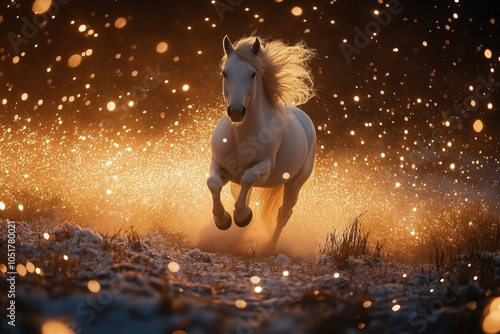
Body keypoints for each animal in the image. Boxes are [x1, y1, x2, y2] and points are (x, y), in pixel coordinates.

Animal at [205, 34, 314, 253]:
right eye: (225, 73)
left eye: (253, 74)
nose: (236, 111)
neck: (242, 136)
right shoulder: (221, 166)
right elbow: (213, 183)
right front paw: (222, 220)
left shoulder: (264, 168)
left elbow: (249, 177)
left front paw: (242, 217)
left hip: (295, 183)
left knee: (284, 213)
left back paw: (269, 248)